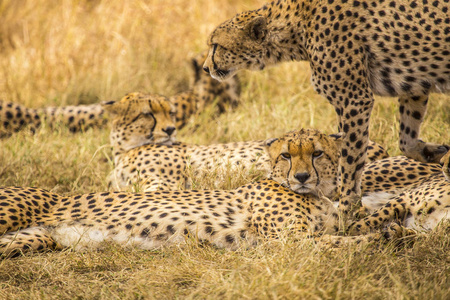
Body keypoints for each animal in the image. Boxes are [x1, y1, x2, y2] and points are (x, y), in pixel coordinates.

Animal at [0, 127, 390, 256]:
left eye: (317, 153)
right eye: (286, 155)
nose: (303, 176)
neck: (320, 193)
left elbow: (346, 230)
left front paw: (386, 230)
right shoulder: (286, 241)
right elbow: (335, 241)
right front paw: (381, 238)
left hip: (32, 238)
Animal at [204, 0, 450, 216]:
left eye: (216, 45)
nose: (206, 68)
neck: (296, 27)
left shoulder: (354, 99)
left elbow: (349, 159)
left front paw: (347, 205)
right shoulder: (414, 82)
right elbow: (406, 140)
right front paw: (436, 153)